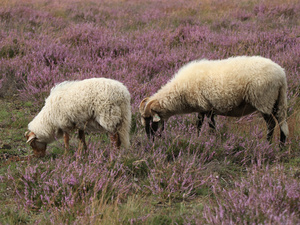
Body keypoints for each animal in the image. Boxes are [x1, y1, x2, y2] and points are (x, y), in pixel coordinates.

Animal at [139, 55, 290, 145]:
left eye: (151, 121)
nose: (150, 142)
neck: (180, 91)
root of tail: (281, 75)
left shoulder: (208, 107)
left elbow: (209, 126)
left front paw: (211, 141)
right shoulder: (203, 108)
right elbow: (199, 125)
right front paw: (198, 138)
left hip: (263, 100)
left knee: (271, 124)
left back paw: (267, 144)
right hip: (277, 101)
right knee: (282, 122)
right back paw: (281, 146)